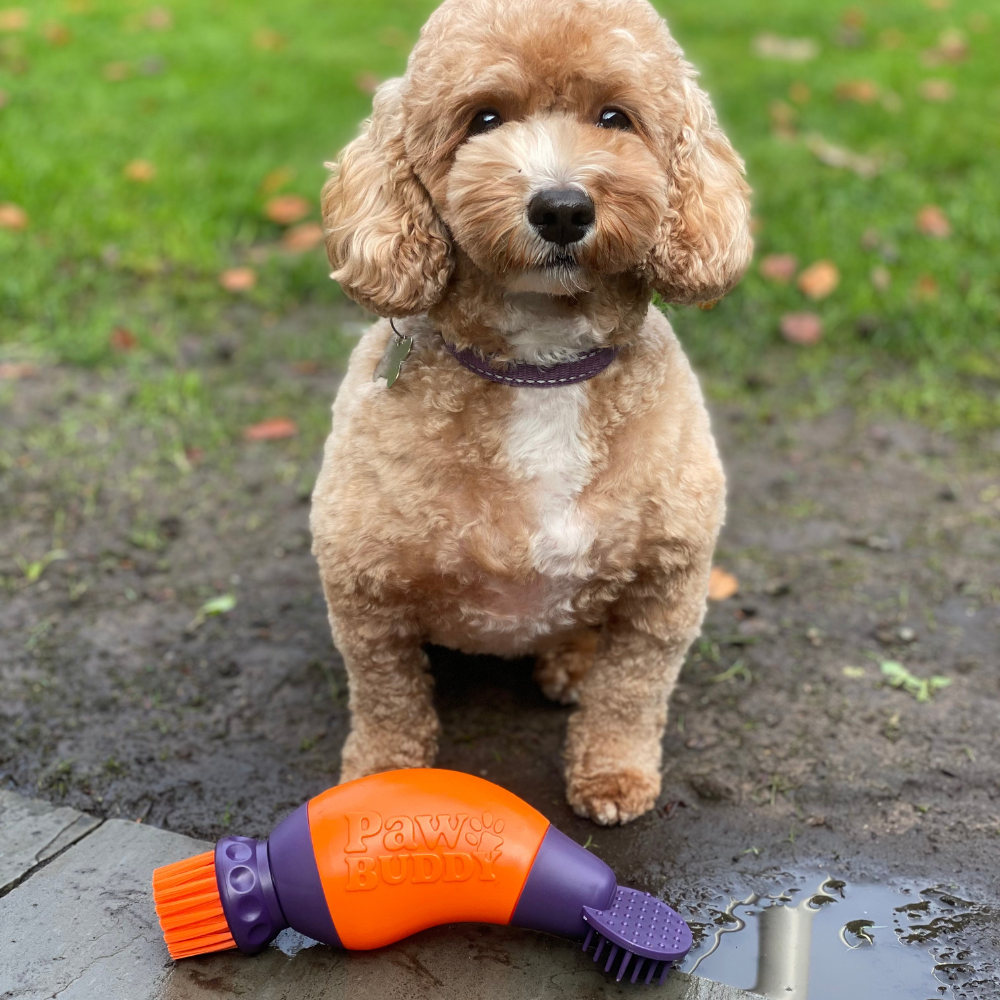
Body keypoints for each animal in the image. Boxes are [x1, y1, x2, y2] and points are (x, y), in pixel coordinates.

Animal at [312, 0, 752, 824]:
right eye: (484, 118)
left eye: (615, 116)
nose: (562, 207)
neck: (542, 373)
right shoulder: (365, 589)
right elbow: (387, 697)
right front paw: (378, 780)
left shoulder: (668, 583)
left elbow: (631, 693)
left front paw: (612, 774)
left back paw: (573, 662)